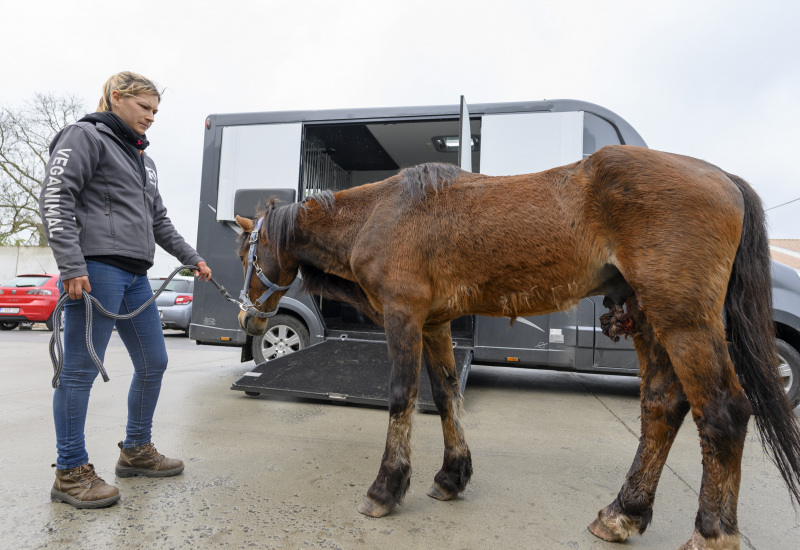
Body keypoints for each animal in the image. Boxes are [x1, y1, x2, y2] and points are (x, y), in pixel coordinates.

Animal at [231, 144, 800, 548]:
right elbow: (445, 397)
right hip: (650, 320)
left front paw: (386, 488)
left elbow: (401, 398)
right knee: (662, 407)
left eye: (245, 253)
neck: (381, 213)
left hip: (684, 321)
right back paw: (623, 514)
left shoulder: (404, 316)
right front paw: (452, 476)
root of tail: (723, 177)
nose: (247, 318)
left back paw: (710, 532)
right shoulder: (436, 324)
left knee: (723, 412)